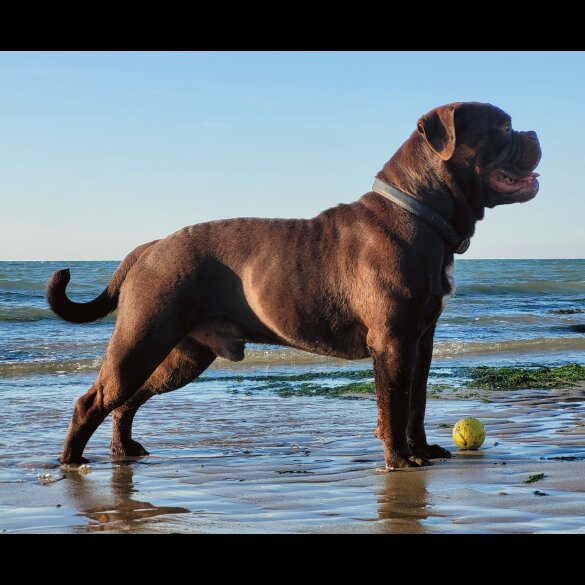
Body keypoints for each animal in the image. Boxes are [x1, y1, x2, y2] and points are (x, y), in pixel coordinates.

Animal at [48, 101, 540, 470]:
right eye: (503, 128)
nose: (535, 133)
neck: (420, 210)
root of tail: (150, 247)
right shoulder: (394, 341)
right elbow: (394, 405)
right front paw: (399, 459)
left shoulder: (421, 341)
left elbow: (415, 402)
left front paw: (420, 451)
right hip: (142, 339)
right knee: (94, 401)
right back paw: (72, 462)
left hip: (182, 356)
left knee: (127, 400)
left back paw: (122, 451)